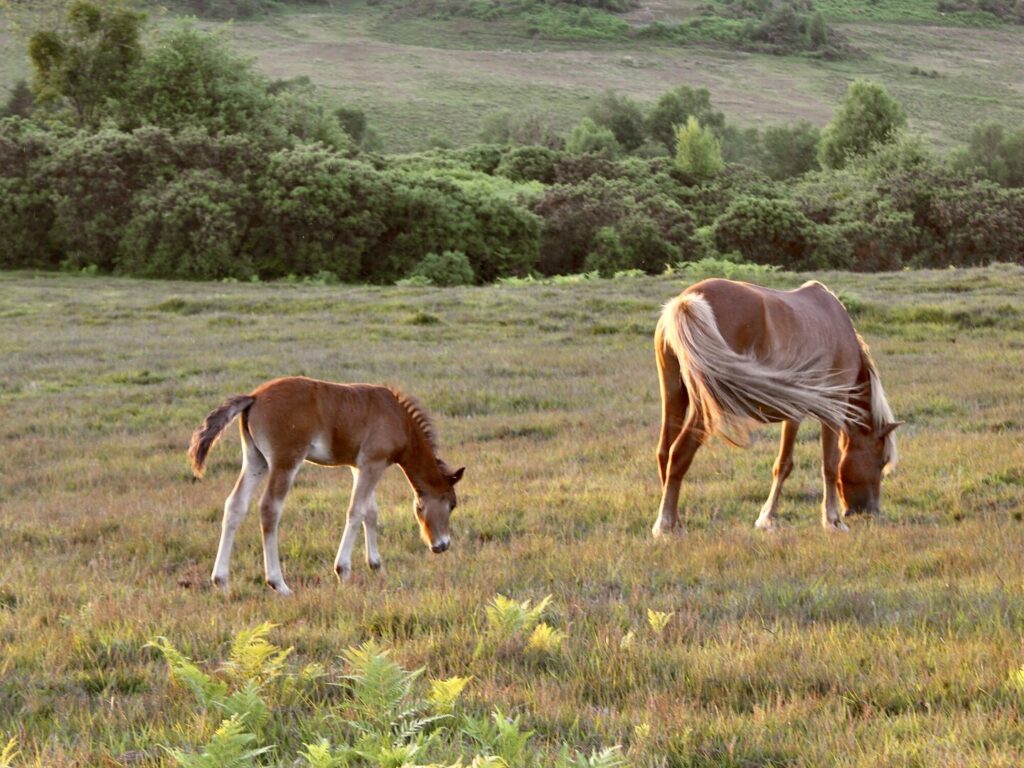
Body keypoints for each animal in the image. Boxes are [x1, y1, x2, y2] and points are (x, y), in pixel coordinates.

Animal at [188, 376, 465, 595]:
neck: (397, 417)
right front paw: (343, 570)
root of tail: (254, 397)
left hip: (256, 460)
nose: (442, 545)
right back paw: (279, 584)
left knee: (235, 505)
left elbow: (370, 513)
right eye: (451, 504)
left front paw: (376, 566)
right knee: (269, 509)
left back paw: (221, 581)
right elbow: (355, 511)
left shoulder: (360, 467)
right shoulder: (372, 463)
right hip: (285, 461)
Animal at [653, 278, 900, 535]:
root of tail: (686, 301)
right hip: (706, 408)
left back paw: (674, 521)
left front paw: (767, 518)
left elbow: (783, 464)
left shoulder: (793, 412)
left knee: (664, 452)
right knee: (679, 452)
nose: (872, 511)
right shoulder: (831, 412)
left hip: (674, 395)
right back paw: (665, 525)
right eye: (881, 461)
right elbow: (825, 465)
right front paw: (832, 521)